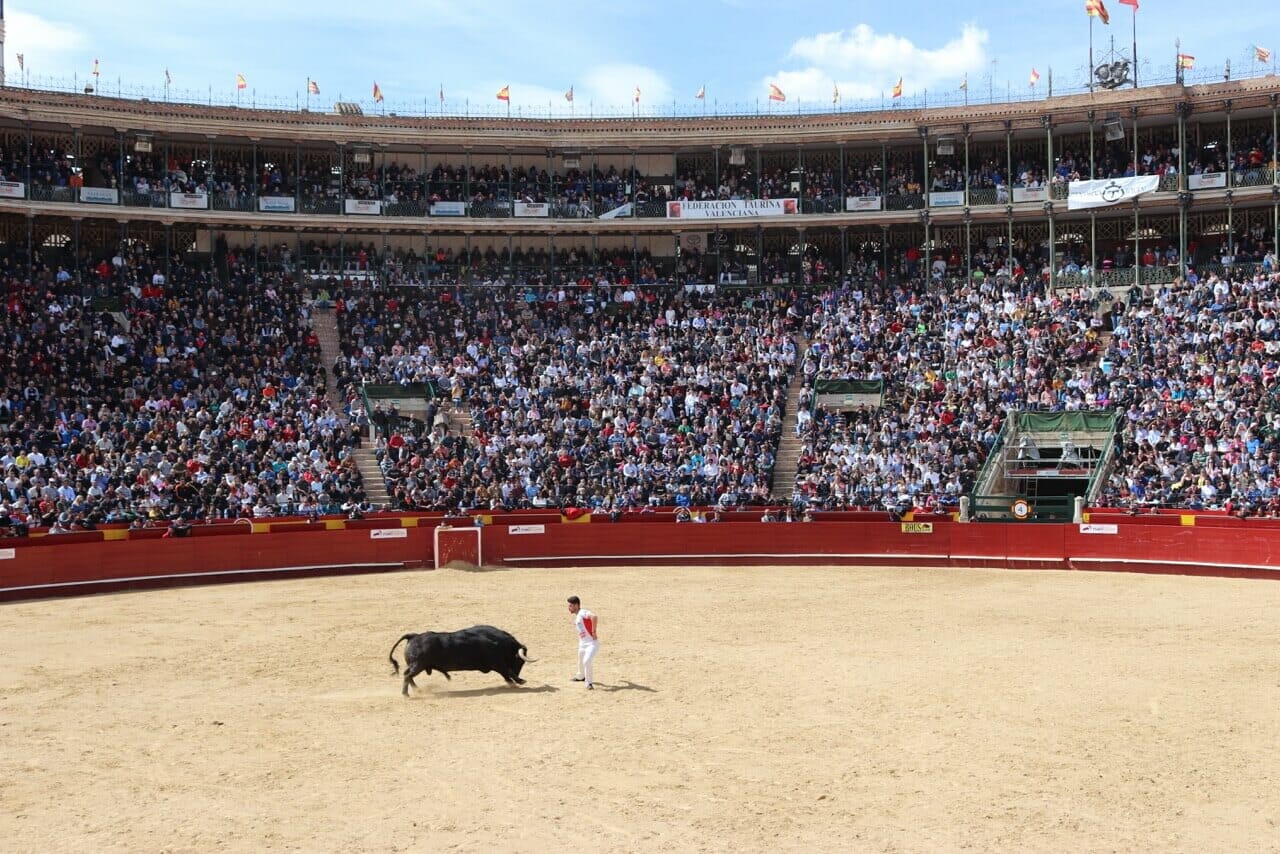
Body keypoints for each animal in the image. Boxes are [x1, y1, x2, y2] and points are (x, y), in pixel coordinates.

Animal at [386, 624, 532, 696]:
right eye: (520, 661)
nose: (519, 674)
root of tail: (413, 636)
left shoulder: (496, 664)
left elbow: (505, 674)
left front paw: (513, 683)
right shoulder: (497, 662)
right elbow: (507, 671)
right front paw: (521, 680)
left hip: (417, 666)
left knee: (408, 676)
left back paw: (418, 690)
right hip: (418, 665)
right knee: (407, 675)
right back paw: (406, 694)